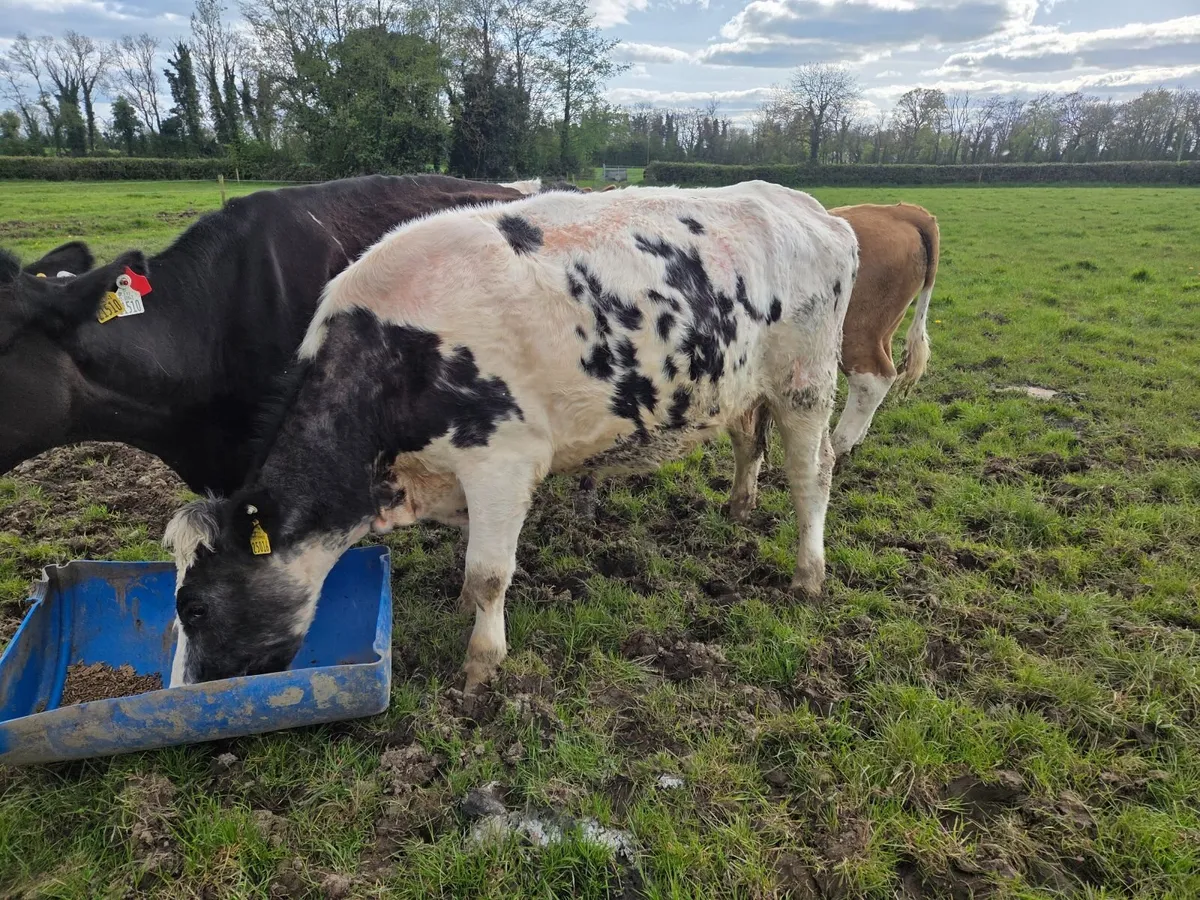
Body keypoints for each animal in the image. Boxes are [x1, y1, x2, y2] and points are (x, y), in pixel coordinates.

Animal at [163, 181, 859, 690]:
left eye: (193, 607)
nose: (192, 690)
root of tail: (809, 208)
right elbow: (471, 561)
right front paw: (461, 615)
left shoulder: (502, 459)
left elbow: (489, 572)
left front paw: (480, 664)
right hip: (743, 385)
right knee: (749, 443)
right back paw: (740, 507)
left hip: (806, 381)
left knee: (812, 472)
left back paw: (809, 573)